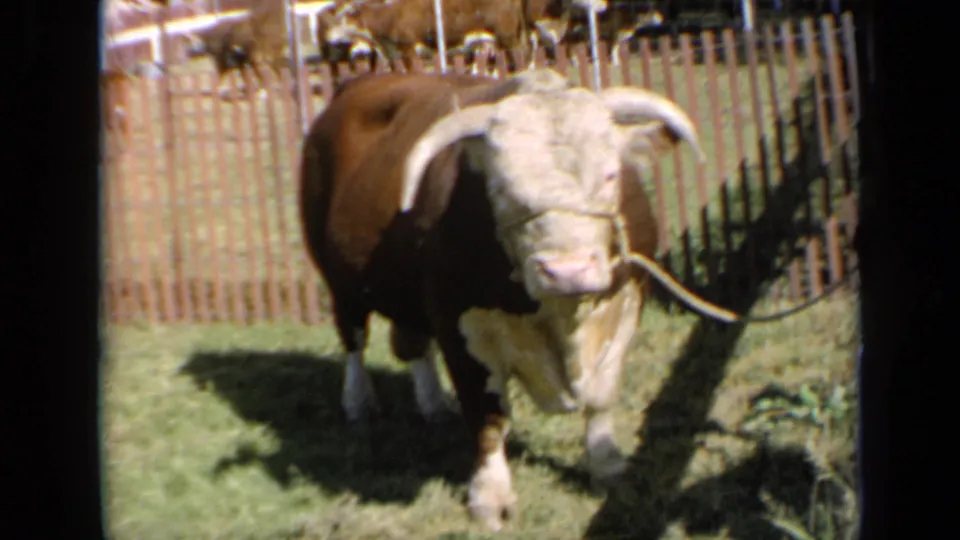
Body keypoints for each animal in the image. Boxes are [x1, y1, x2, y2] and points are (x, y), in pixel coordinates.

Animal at [298, 67, 707, 530]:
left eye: (610, 175)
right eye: (503, 186)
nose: (568, 271)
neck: (561, 321)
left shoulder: (626, 304)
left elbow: (602, 397)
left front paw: (608, 466)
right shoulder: (459, 325)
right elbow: (488, 416)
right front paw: (490, 497)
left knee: (413, 343)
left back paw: (433, 403)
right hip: (340, 283)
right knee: (354, 341)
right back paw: (358, 402)